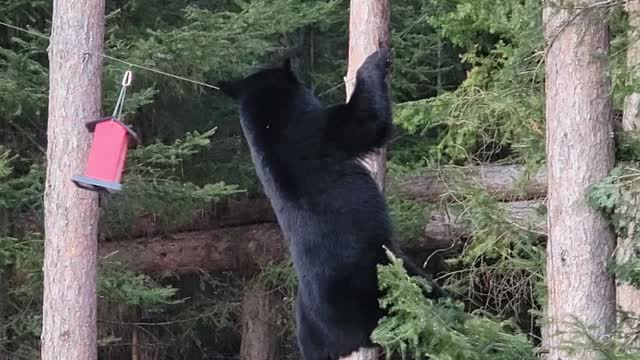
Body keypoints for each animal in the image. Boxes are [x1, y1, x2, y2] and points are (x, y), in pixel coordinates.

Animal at [218, 50, 442, 360]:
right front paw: (375, 60)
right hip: (382, 276)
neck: (270, 127)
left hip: (306, 325)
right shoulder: (320, 132)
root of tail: (344, 339)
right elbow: (366, 121)